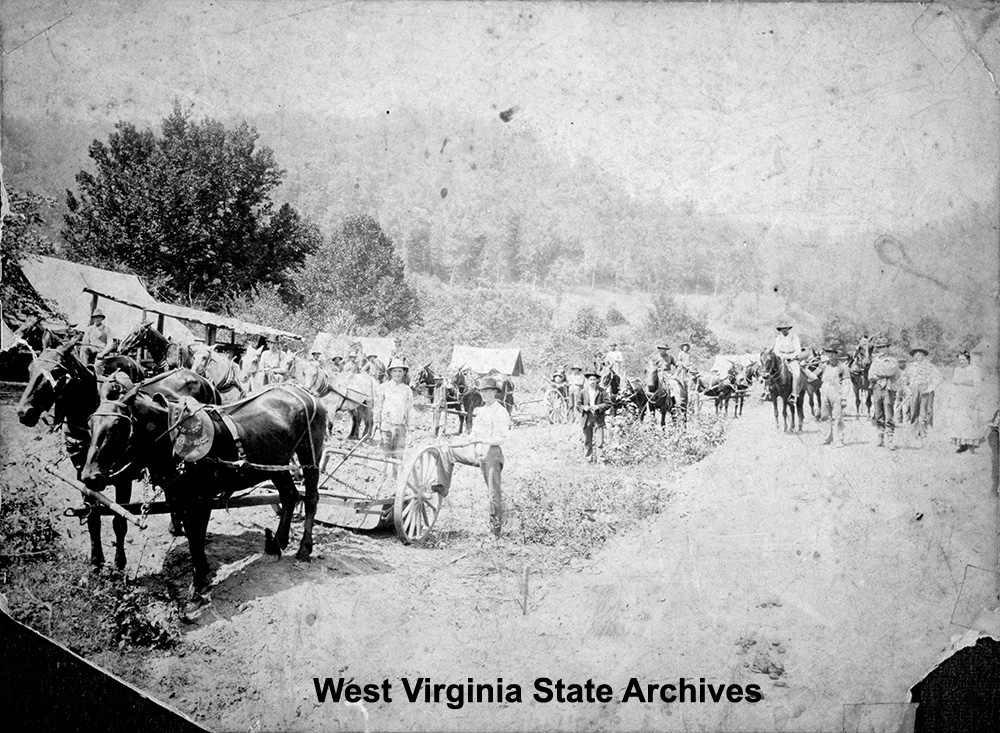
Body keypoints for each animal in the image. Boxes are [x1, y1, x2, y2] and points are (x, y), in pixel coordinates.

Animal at [15, 338, 220, 572]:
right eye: (30, 368)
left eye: (56, 372)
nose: (24, 412)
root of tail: (202, 379)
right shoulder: (83, 475)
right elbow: (93, 517)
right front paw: (96, 559)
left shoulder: (124, 480)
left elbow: (119, 521)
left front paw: (119, 561)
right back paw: (176, 523)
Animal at [79, 380, 328, 596]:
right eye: (90, 425)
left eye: (117, 427)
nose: (89, 476)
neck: (171, 440)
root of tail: (307, 393)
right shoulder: (179, 497)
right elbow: (191, 535)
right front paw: (202, 572)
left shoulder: (202, 499)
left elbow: (197, 537)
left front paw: (198, 582)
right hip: (276, 462)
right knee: (289, 495)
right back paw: (277, 543)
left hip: (310, 455)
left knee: (311, 499)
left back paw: (304, 550)